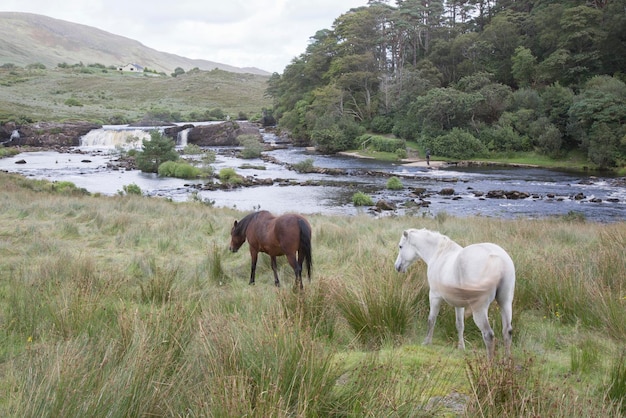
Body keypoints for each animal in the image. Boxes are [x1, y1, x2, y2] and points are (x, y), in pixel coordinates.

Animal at [394, 229, 512, 360]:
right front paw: (461, 347)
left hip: (479, 308)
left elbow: (431, 319)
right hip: (505, 302)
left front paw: (426, 342)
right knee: (507, 331)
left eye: (400, 246)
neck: (439, 253)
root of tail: (498, 260)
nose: (397, 267)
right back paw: (507, 360)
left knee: (488, 334)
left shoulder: (434, 296)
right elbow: (460, 324)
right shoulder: (459, 304)